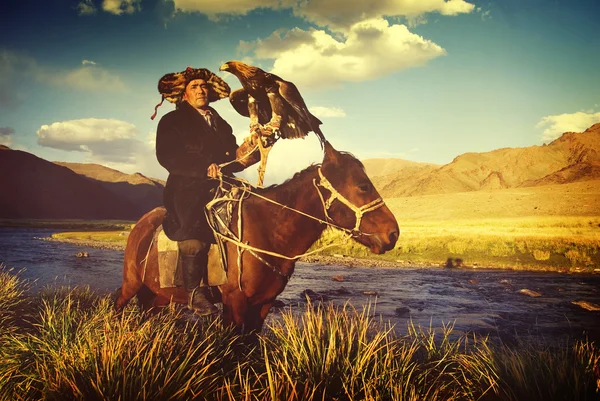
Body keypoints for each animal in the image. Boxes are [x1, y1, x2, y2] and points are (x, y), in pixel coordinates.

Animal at [116, 142, 398, 332]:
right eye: (363, 186)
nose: (393, 233)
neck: (269, 231)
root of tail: (140, 226)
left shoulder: (263, 304)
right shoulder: (235, 303)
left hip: (159, 296)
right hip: (131, 284)